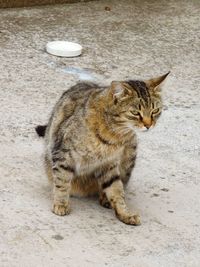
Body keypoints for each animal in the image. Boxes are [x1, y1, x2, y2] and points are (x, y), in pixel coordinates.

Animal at [35, 72, 169, 225]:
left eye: (155, 111)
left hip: (129, 156)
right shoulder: (63, 154)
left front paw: (124, 213)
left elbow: (117, 190)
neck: (115, 134)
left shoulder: (109, 164)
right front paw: (61, 204)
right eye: (135, 113)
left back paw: (105, 198)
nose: (148, 125)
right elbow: (62, 182)